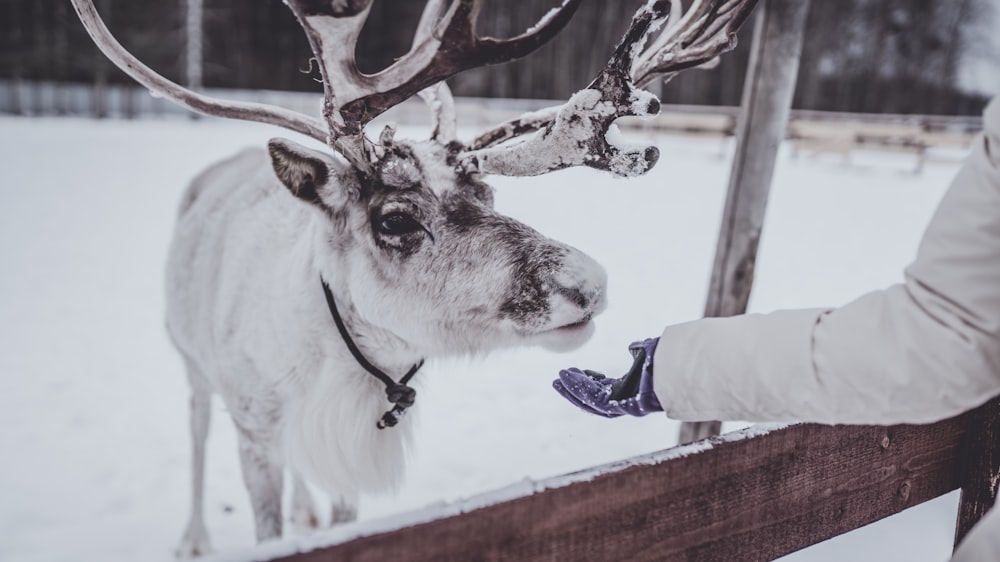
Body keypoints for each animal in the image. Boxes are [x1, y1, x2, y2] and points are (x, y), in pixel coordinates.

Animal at [70, 0, 752, 552]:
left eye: (488, 192)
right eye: (395, 219)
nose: (590, 284)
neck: (343, 366)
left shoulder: (347, 450)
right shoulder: (254, 427)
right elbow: (266, 524)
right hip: (191, 363)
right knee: (194, 432)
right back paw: (193, 537)